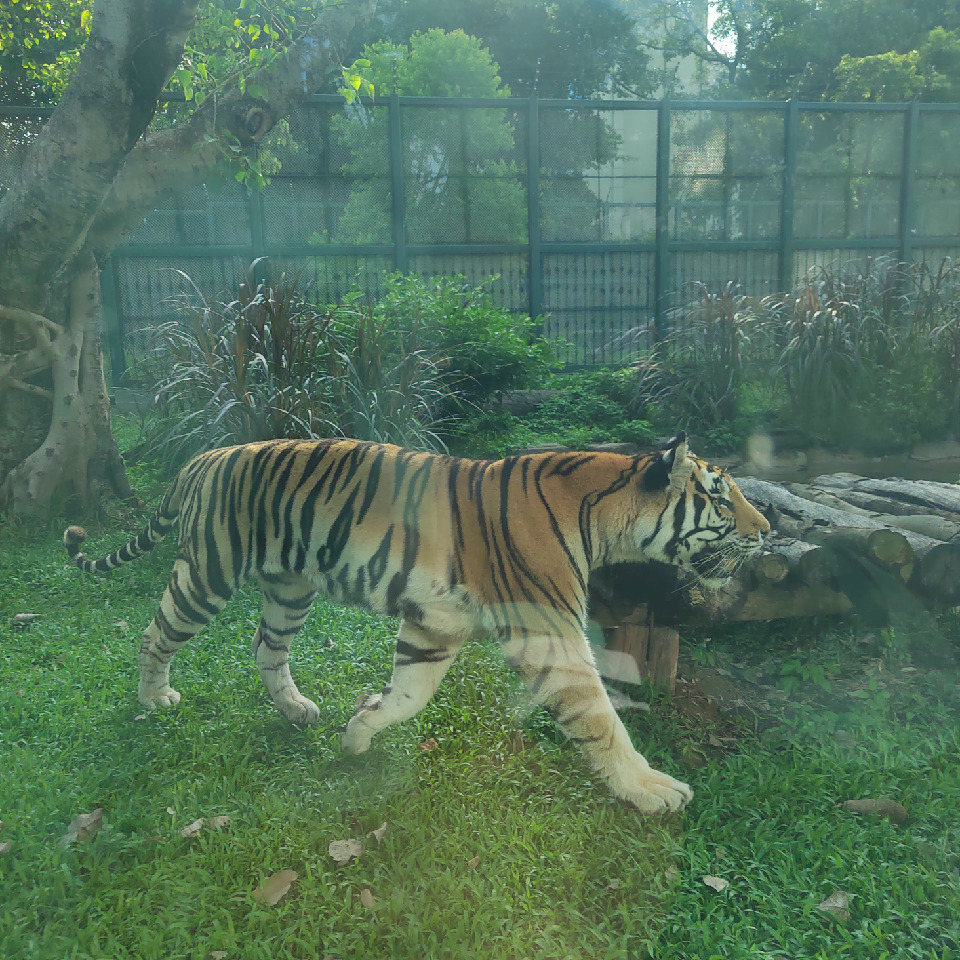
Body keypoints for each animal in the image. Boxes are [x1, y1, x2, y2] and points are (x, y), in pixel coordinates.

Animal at [63, 436, 768, 816]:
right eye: (720, 496)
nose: (766, 531)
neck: (603, 517)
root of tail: (204, 457)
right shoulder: (550, 634)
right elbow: (602, 721)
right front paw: (652, 790)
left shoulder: (435, 626)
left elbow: (409, 694)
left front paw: (358, 731)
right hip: (209, 573)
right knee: (155, 633)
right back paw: (154, 697)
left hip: (290, 589)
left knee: (265, 647)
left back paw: (296, 710)